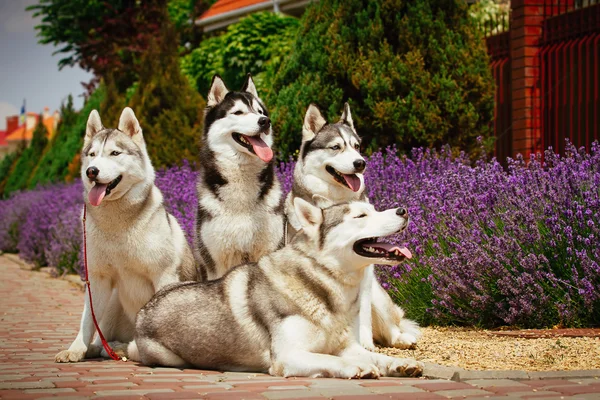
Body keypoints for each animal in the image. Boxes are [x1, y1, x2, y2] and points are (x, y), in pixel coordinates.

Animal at [53, 107, 195, 362]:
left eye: (115, 153)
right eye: (92, 154)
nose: (92, 171)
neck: (117, 226)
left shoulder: (164, 274)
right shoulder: (97, 280)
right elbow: (87, 320)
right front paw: (76, 348)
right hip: (113, 300)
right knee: (102, 335)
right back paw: (100, 348)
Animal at [129, 198, 424, 380]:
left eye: (373, 208)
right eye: (361, 216)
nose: (403, 210)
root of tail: (145, 309)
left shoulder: (345, 345)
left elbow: (377, 356)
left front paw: (399, 364)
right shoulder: (289, 356)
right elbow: (333, 361)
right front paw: (356, 367)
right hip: (167, 357)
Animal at [286, 103, 422, 350]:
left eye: (357, 146)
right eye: (336, 147)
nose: (360, 163)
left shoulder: (365, 279)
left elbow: (362, 316)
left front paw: (365, 344)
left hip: (379, 297)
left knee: (391, 328)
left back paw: (400, 339)